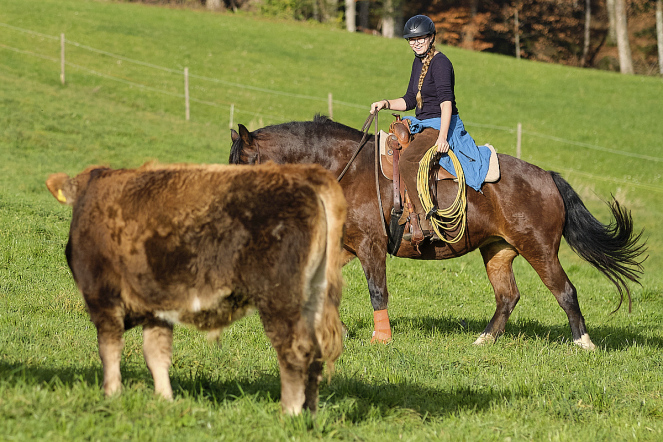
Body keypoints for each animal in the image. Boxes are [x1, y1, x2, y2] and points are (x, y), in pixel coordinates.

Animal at [46, 162, 348, 414]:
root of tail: (301, 173)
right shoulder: (157, 309)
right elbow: (156, 354)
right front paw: (164, 400)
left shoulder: (101, 298)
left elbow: (109, 349)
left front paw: (112, 395)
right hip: (314, 297)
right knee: (316, 353)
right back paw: (309, 412)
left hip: (279, 299)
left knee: (295, 350)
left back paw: (290, 413)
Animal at [231, 115, 644, 350]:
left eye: (244, 162)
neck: (344, 168)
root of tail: (547, 177)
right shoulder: (344, 246)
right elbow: (317, 286)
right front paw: (338, 331)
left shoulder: (370, 245)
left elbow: (377, 291)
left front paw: (381, 338)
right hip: (498, 250)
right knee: (508, 296)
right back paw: (485, 340)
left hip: (539, 249)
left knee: (565, 291)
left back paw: (584, 343)